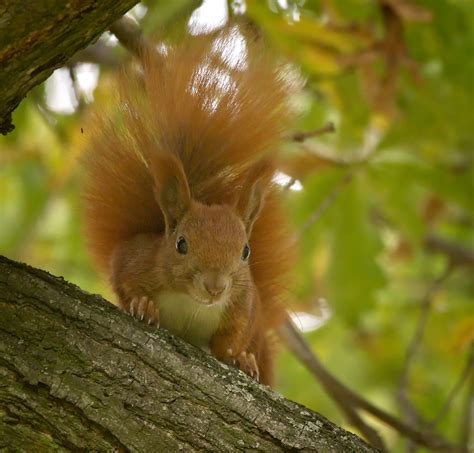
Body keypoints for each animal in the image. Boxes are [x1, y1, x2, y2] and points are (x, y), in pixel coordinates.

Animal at [82, 25, 296, 384]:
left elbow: (234, 336)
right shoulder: (134, 258)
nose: (215, 287)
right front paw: (144, 306)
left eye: (246, 251)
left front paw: (239, 358)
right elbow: (123, 281)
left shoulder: (245, 304)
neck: (191, 301)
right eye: (181, 243)